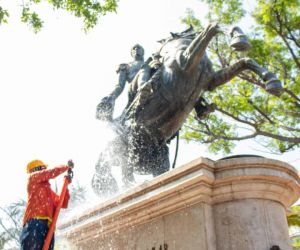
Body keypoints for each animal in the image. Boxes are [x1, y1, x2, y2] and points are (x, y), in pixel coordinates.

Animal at [92, 23, 282, 196]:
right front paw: (238, 39)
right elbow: (210, 28)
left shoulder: (212, 80)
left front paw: (272, 81)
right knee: (125, 174)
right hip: (124, 149)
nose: (138, 51)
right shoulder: (186, 60)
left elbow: (244, 61)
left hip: (157, 157)